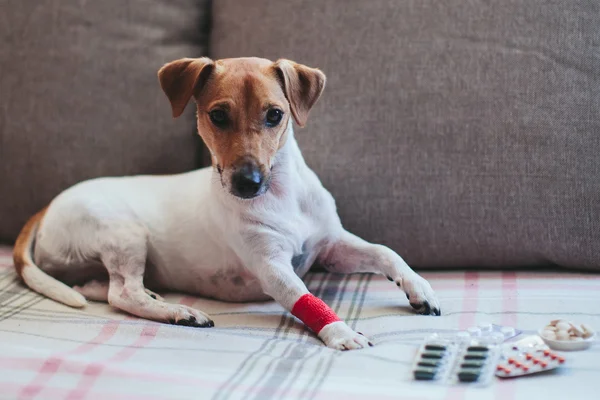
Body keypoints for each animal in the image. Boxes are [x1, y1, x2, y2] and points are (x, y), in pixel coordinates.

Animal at [11, 57, 438, 350]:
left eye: (275, 115)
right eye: (217, 116)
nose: (247, 183)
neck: (281, 196)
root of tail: (46, 209)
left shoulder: (331, 247)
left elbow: (384, 251)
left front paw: (419, 288)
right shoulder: (272, 268)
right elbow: (306, 298)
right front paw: (340, 330)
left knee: (101, 287)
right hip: (124, 234)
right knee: (123, 293)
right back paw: (180, 311)